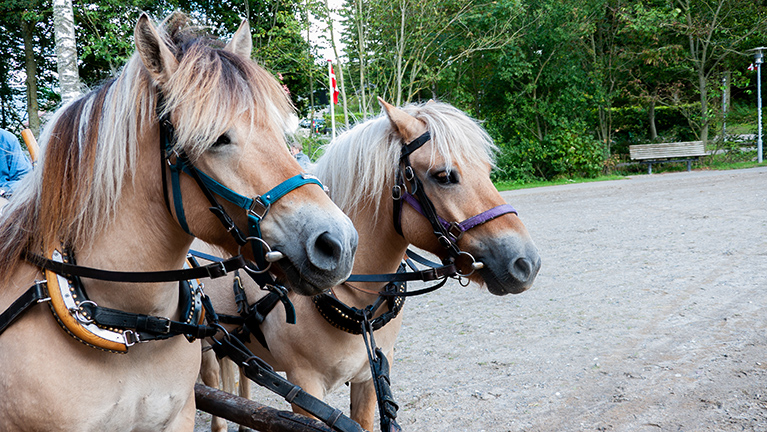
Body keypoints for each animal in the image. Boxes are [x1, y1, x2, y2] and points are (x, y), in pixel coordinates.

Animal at [201, 99, 544, 430]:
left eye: (487, 169)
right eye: (445, 176)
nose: (527, 262)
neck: (352, 295)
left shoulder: (369, 374)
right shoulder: (303, 385)